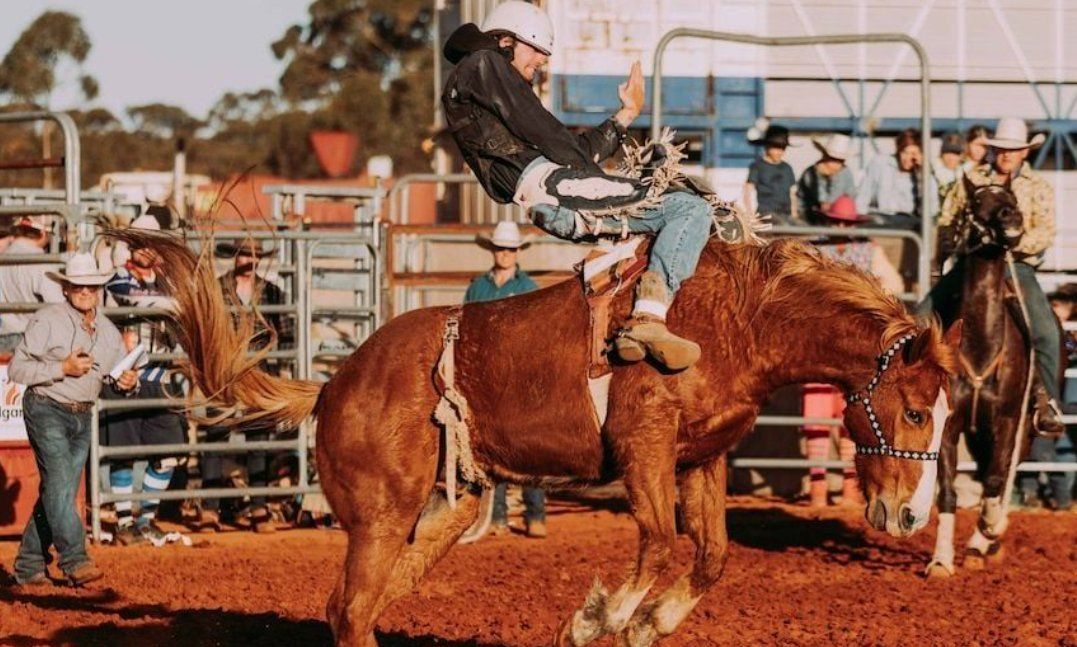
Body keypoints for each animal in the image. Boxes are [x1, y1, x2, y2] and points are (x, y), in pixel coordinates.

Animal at [115, 219, 960, 641]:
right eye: (917, 410)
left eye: (950, 417)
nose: (912, 513)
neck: (738, 321)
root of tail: (332, 386)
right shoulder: (644, 448)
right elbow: (659, 542)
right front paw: (599, 618)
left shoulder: (702, 457)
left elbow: (710, 555)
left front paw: (650, 620)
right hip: (381, 513)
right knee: (351, 609)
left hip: (447, 506)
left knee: (361, 606)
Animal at [926, 176, 1033, 577]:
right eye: (975, 202)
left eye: (1012, 197)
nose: (1011, 216)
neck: (979, 347)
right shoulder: (949, 426)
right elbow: (948, 493)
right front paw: (941, 560)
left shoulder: (1007, 422)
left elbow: (994, 482)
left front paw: (988, 527)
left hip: (1024, 431)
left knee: (999, 477)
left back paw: (988, 537)